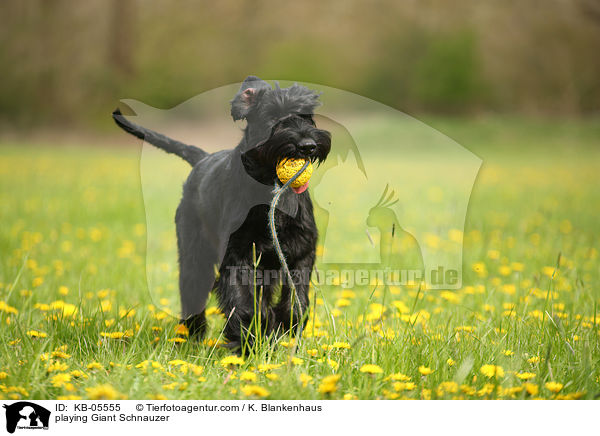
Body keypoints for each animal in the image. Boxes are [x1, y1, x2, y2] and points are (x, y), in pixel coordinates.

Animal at [112, 76, 330, 350]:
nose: (307, 146)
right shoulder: (238, 254)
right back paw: (192, 336)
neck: (270, 188)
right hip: (194, 253)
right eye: (272, 115)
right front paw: (246, 343)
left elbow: (295, 300)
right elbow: (245, 304)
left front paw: (279, 331)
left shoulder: (300, 252)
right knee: (192, 290)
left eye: (307, 116)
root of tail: (201, 159)